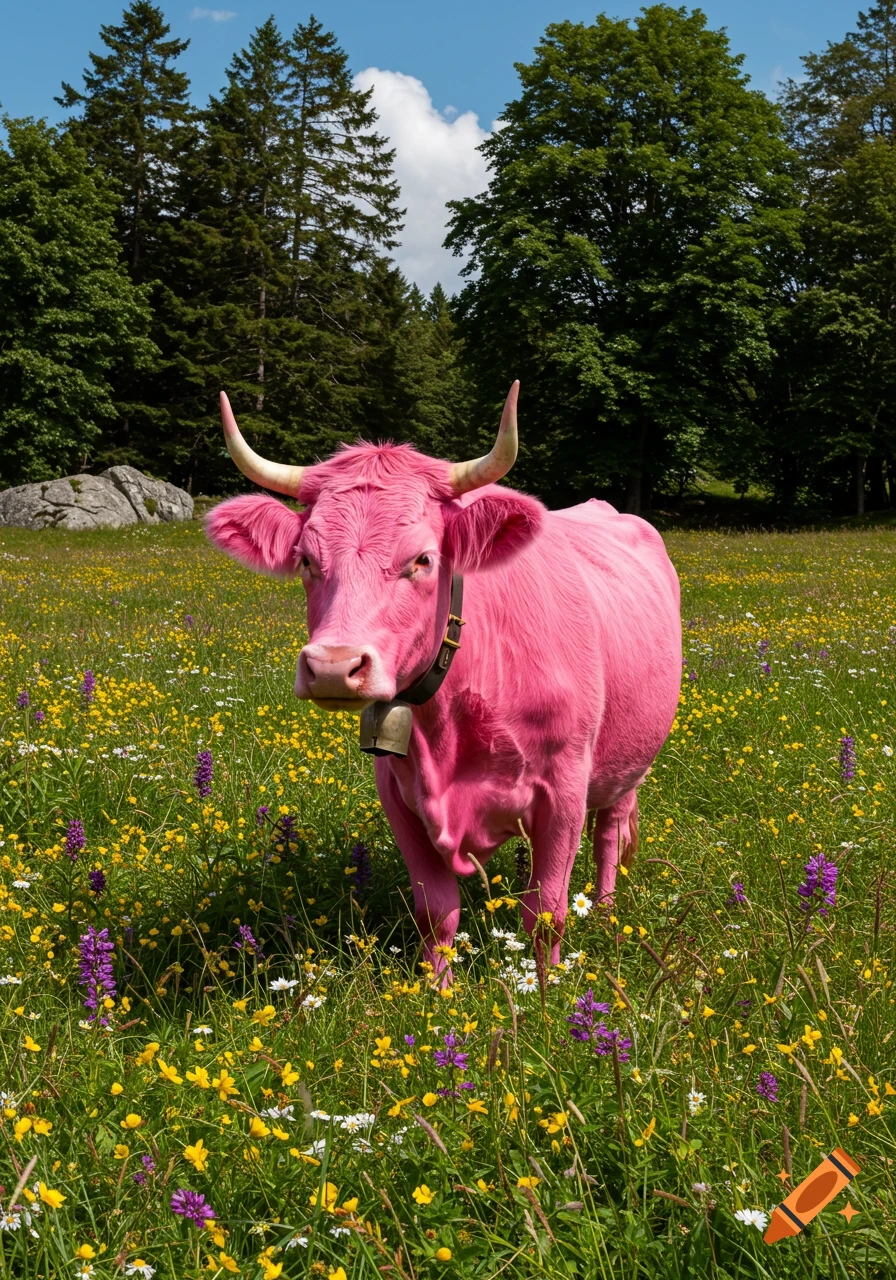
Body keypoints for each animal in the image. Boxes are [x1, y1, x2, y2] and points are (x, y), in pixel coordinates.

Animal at [205, 384, 681, 979]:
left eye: (423, 559)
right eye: (308, 560)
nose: (334, 665)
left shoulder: (565, 786)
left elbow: (546, 910)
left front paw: (547, 991)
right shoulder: (397, 791)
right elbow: (436, 910)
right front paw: (437, 989)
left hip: (629, 759)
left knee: (610, 832)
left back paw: (607, 910)